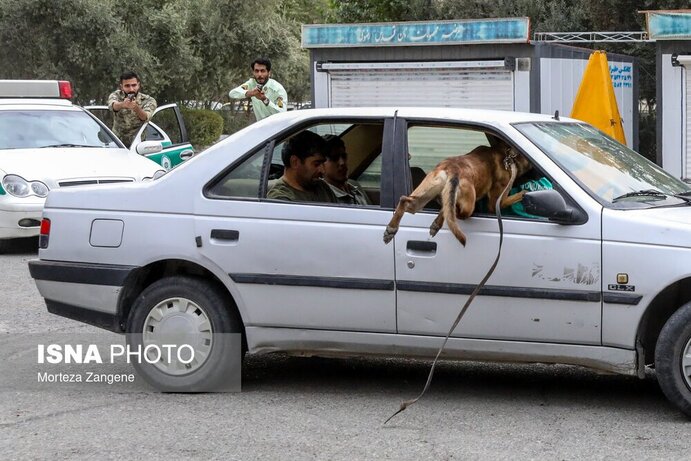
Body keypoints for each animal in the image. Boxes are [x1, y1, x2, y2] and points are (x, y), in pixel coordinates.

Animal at [382, 143, 532, 244]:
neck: (508, 157)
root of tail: (452, 169)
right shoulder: (497, 202)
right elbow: (518, 195)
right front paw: (526, 192)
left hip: (423, 195)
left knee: (406, 200)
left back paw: (392, 229)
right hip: (468, 205)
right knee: (454, 212)